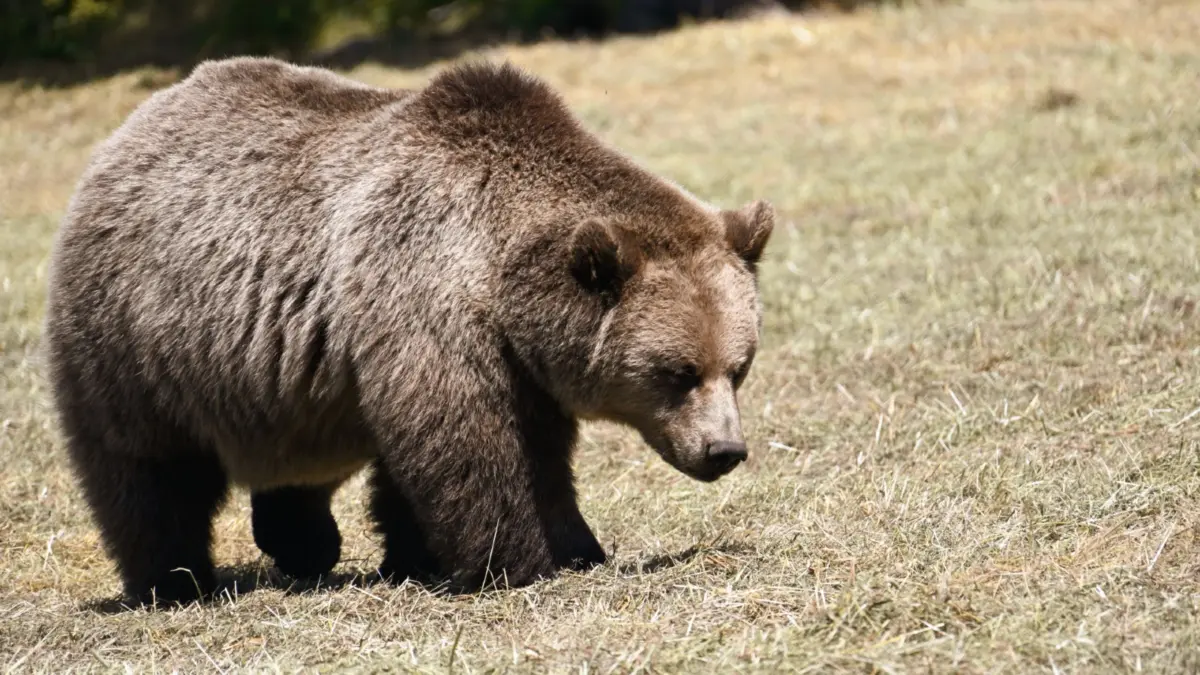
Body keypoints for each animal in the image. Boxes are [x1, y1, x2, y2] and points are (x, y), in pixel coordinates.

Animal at [42, 56, 774, 606]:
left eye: (738, 367)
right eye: (677, 372)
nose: (724, 450)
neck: (500, 275)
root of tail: (131, 127)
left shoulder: (517, 360)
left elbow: (519, 453)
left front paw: (567, 547)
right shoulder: (428, 299)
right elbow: (472, 445)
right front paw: (519, 561)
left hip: (282, 382)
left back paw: (302, 543)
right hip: (136, 336)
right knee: (147, 468)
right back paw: (173, 579)